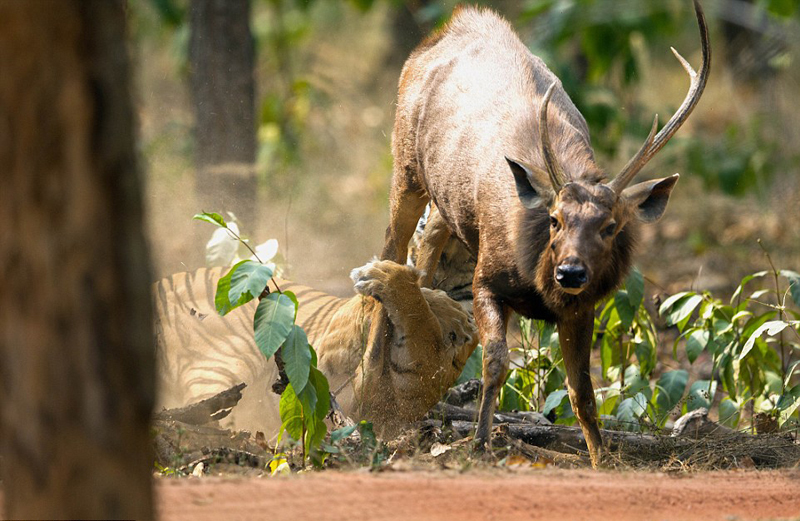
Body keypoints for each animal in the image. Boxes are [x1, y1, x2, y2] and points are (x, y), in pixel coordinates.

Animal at [382, 0, 712, 464]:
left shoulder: (582, 306)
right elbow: (496, 363)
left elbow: (582, 391)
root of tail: (454, 22)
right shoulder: (486, 279)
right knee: (391, 248)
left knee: (425, 260)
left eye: (611, 226)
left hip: (444, 205)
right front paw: (479, 442)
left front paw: (601, 459)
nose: (570, 272)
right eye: (554, 218)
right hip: (406, 166)